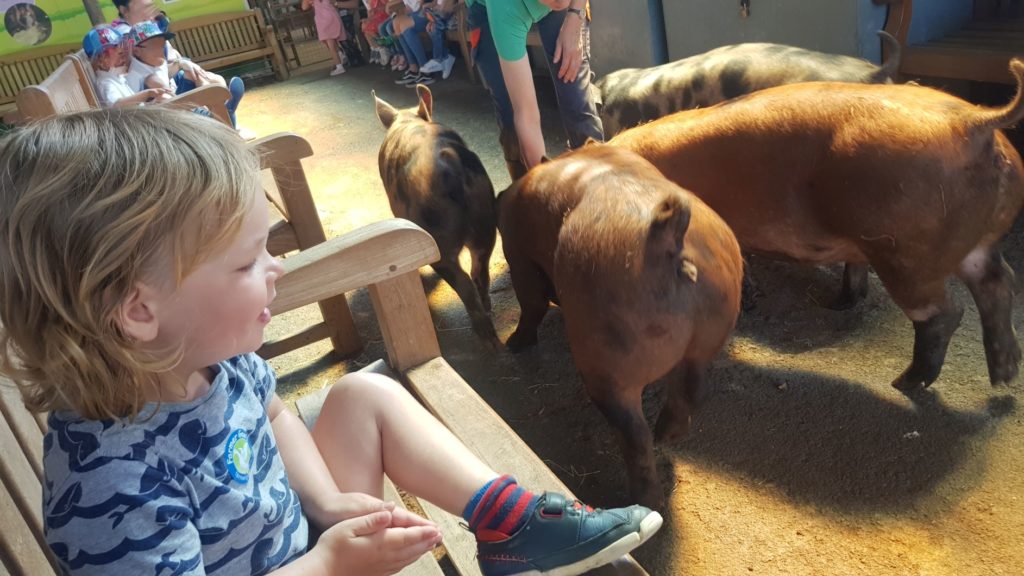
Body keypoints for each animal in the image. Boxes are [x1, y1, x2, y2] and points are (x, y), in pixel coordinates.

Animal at [378, 85, 501, 344]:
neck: (407, 118)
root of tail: (449, 163)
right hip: (485, 219)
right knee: (479, 269)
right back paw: (488, 314)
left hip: (438, 234)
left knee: (463, 282)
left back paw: (487, 339)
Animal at [497, 143, 745, 506]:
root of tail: (664, 235)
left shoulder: (518, 255)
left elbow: (531, 304)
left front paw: (514, 344)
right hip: (711, 326)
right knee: (693, 387)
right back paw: (667, 434)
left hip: (607, 364)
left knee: (634, 434)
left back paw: (644, 498)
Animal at [602, 60, 1024, 387]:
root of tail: (974, 123)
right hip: (975, 244)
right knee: (1000, 284)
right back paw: (1003, 375)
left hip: (906, 254)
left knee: (946, 312)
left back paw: (906, 383)